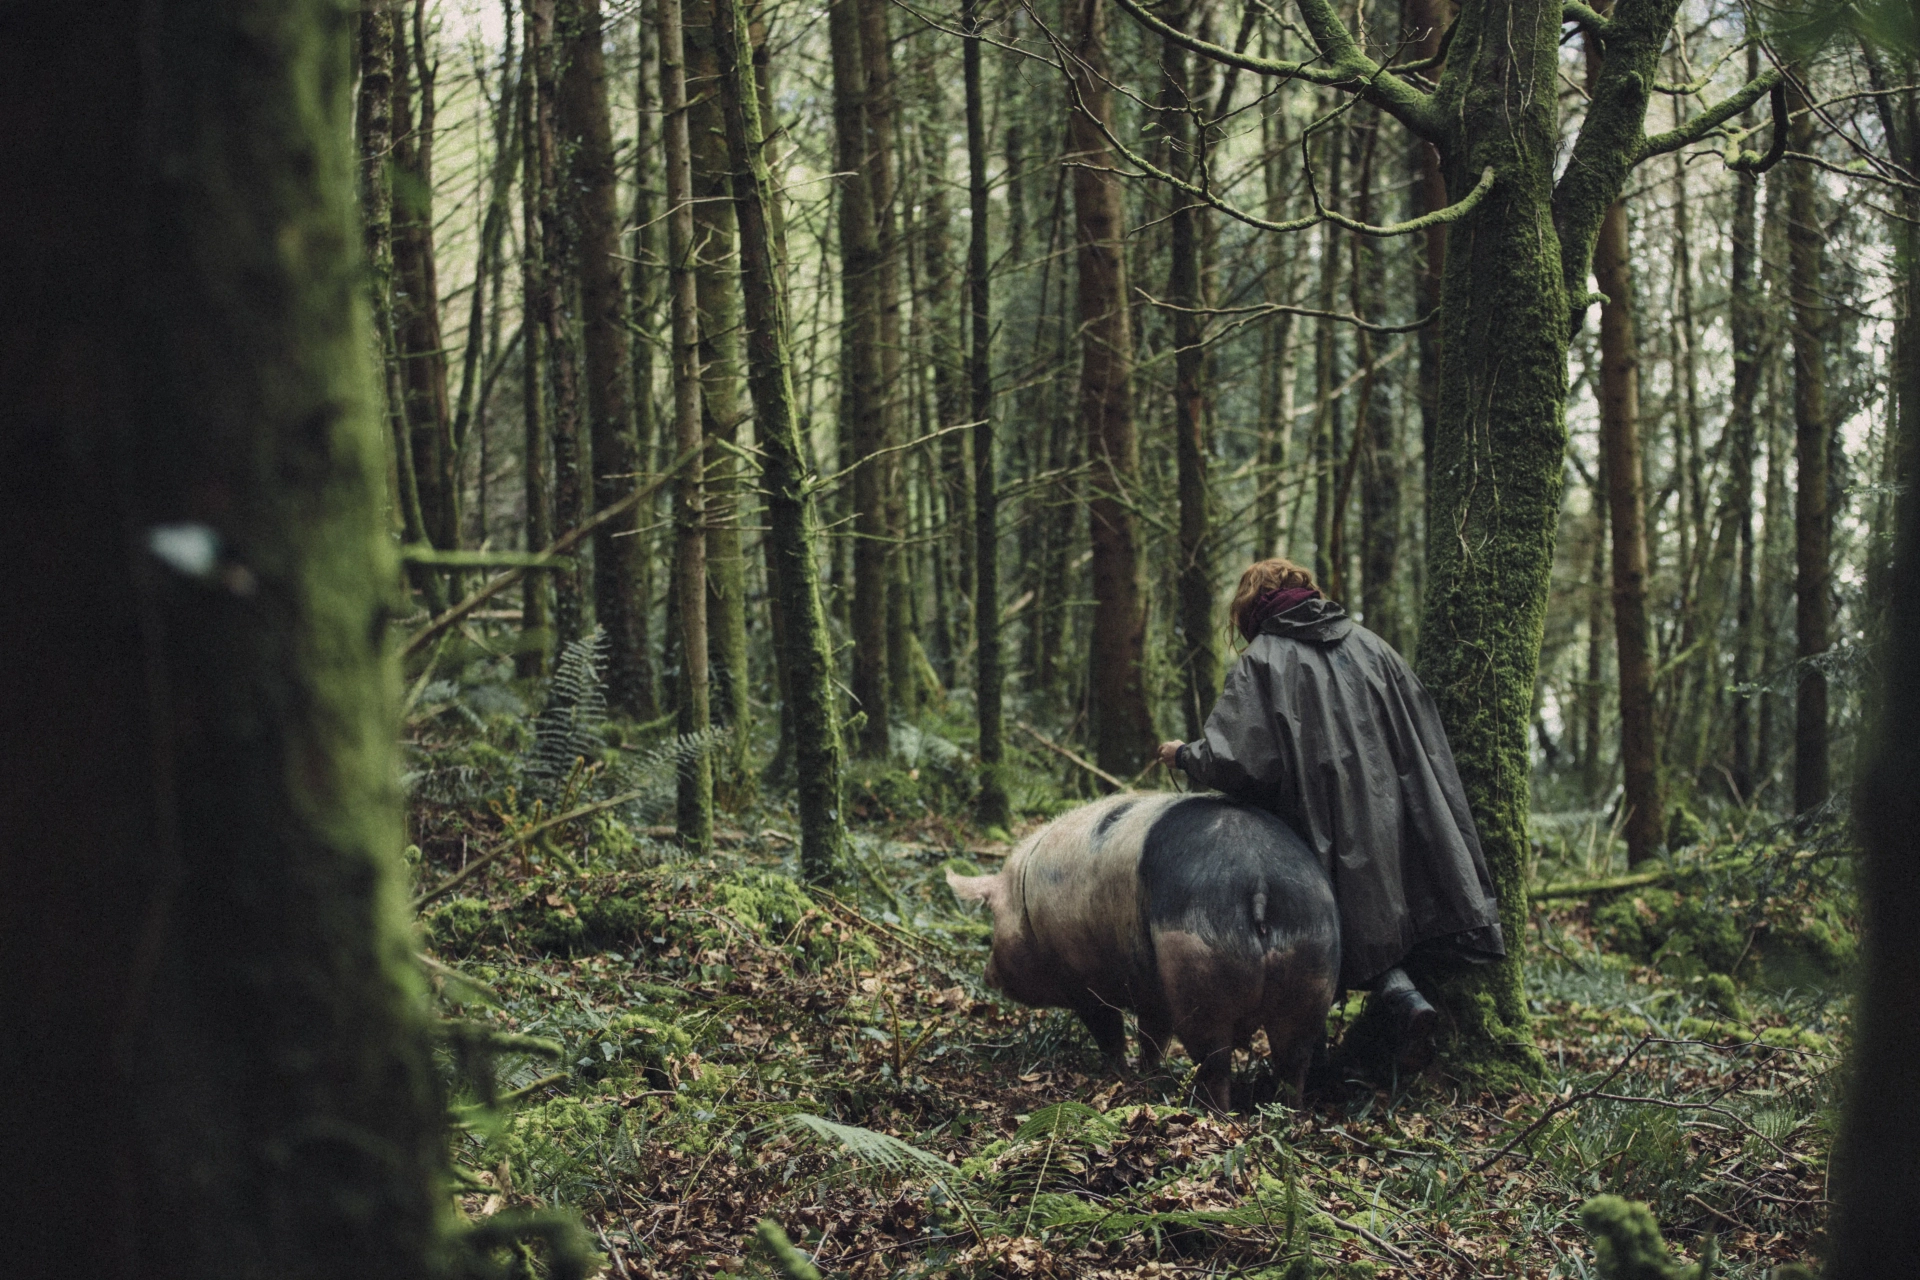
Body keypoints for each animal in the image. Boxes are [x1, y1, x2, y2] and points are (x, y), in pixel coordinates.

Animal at [944, 790, 1336, 1113]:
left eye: (993, 918)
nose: (987, 975)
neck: (1025, 904)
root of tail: (1258, 881)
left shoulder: (1086, 980)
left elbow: (1110, 1031)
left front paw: (1119, 1073)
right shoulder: (1152, 991)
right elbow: (1152, 1036)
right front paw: (1147, 1076)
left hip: (1197, 968)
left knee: (1214, 1061)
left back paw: (1215, 1113)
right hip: (1314, 962)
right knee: (1294, 1059)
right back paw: (1288, 1116)